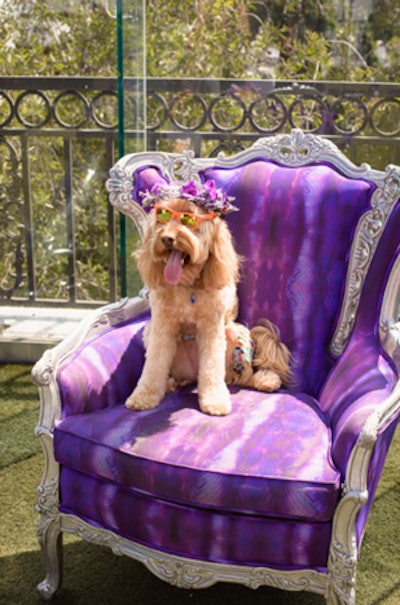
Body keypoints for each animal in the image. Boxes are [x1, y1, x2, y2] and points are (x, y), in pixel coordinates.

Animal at [126, 178, 290, 416]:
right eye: (163, 216)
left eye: (189, 219)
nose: (166, 238)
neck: (187, 286)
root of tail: (193, 375)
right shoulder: (161, 325)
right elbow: (153, 365)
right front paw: (143, 396)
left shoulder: (212, 327)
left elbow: (212, 367)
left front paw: (215, 401)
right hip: (150, 333)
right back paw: (169, 383)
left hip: (236, 333)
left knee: (244, 377)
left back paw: (266, 380)